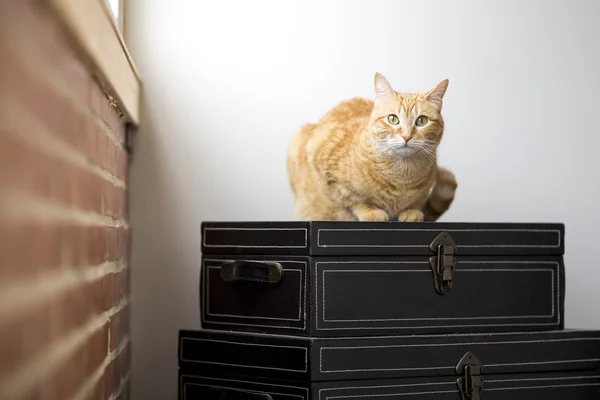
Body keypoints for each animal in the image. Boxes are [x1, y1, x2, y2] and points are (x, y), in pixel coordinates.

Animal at [288, 72, 458, 222]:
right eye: (393, 119)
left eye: (421, 121)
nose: (406, 136)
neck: (402, 174)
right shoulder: (326, 165)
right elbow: (353, 199)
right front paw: (370, 212)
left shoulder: (427, 185)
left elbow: (418, 201)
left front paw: (412, 211)